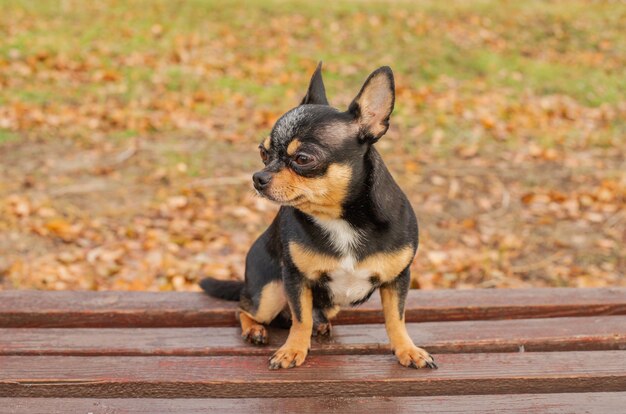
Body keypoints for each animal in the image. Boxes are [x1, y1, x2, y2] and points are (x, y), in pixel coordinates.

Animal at [200, 64, 434, 372]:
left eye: (302, 158)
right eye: (263, 153)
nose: (258, 177)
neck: (339, 219)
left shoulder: (397, 280)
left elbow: (396, 318)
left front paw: (407, 349)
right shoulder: (295, 279)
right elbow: (301, 318)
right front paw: (293, 350)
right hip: (269, 293)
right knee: (244, 309)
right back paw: (255, 330)